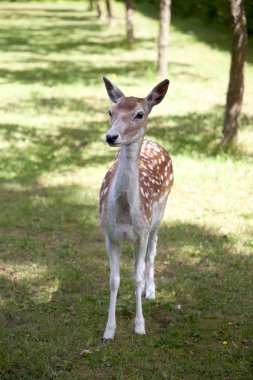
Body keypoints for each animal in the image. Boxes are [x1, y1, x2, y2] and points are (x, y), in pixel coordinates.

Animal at [99, 77, 174, 342]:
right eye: (110, 111)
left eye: (139, 114)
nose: (111, 136)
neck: (123, 212)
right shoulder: (109, 234)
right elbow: (114, 280)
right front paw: (109, 331)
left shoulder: (142, 230)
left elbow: (138, 276)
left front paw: (140, 326)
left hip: (159, 216)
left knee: (152, 251)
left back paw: (150, 291)